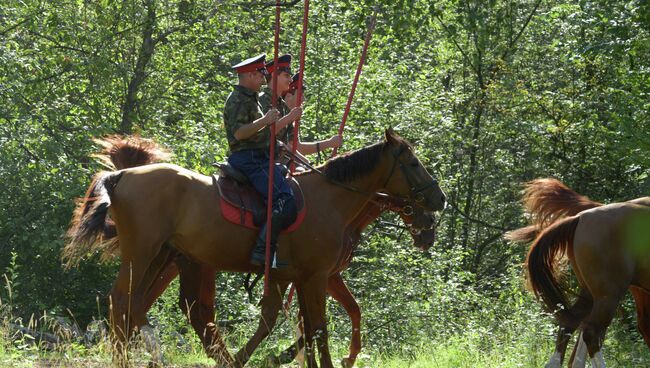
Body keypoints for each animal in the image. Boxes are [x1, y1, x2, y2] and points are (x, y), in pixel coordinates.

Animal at [63, 129, 442, 368]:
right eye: (412, 163)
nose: (440, 200)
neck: (329, 200)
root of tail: (122, 175)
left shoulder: (295, 277)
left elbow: (298, 323)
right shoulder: (317, 276)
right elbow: (318, 326)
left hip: (163, 257)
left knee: (139, 305)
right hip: (144, 255)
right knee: (125, 301)